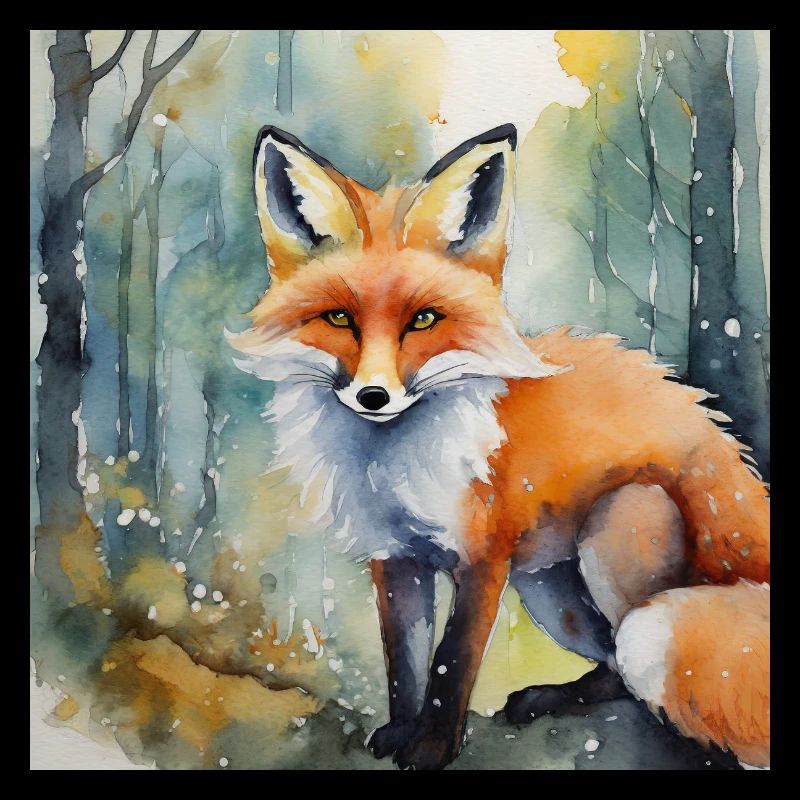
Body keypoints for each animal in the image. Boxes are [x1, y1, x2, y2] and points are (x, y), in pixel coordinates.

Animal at [232, 124, 770, 770]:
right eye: (339, 318)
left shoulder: (484, 556)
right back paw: (549, 697)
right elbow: (404, 662)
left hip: (619, 525)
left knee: (631, 665)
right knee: (612, 663)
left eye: (424, 320)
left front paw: (432, 746)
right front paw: (399, 729)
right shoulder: (396, 557)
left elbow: (451, 661)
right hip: (549, 593)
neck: (391, 468)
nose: (373, 395)